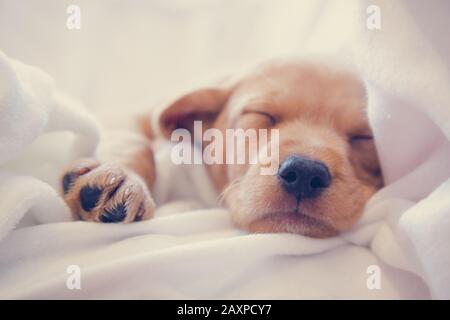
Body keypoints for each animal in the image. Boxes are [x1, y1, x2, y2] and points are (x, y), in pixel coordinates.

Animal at [60, 60, 384, 238]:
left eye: (363, 137)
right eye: (262, 115)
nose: (305, 173)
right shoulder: (134, 114)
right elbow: (132, 141)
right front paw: (123, 177)